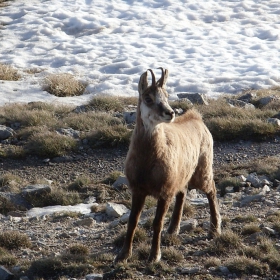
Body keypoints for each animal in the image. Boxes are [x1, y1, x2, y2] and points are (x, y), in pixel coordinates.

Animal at [115, 68, 222, 262]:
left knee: (211, 190)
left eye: (166, 95)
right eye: (148, 98)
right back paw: (173, 230)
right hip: (182, 174)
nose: (170, 112)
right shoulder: (138, 189)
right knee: (182, 192)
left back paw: (214, 230)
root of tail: (197, 118)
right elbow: (132, 221)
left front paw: (154, 256)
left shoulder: (164, 191)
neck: (148, 160)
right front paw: (123, 255)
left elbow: (157, 223)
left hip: (202, 170)